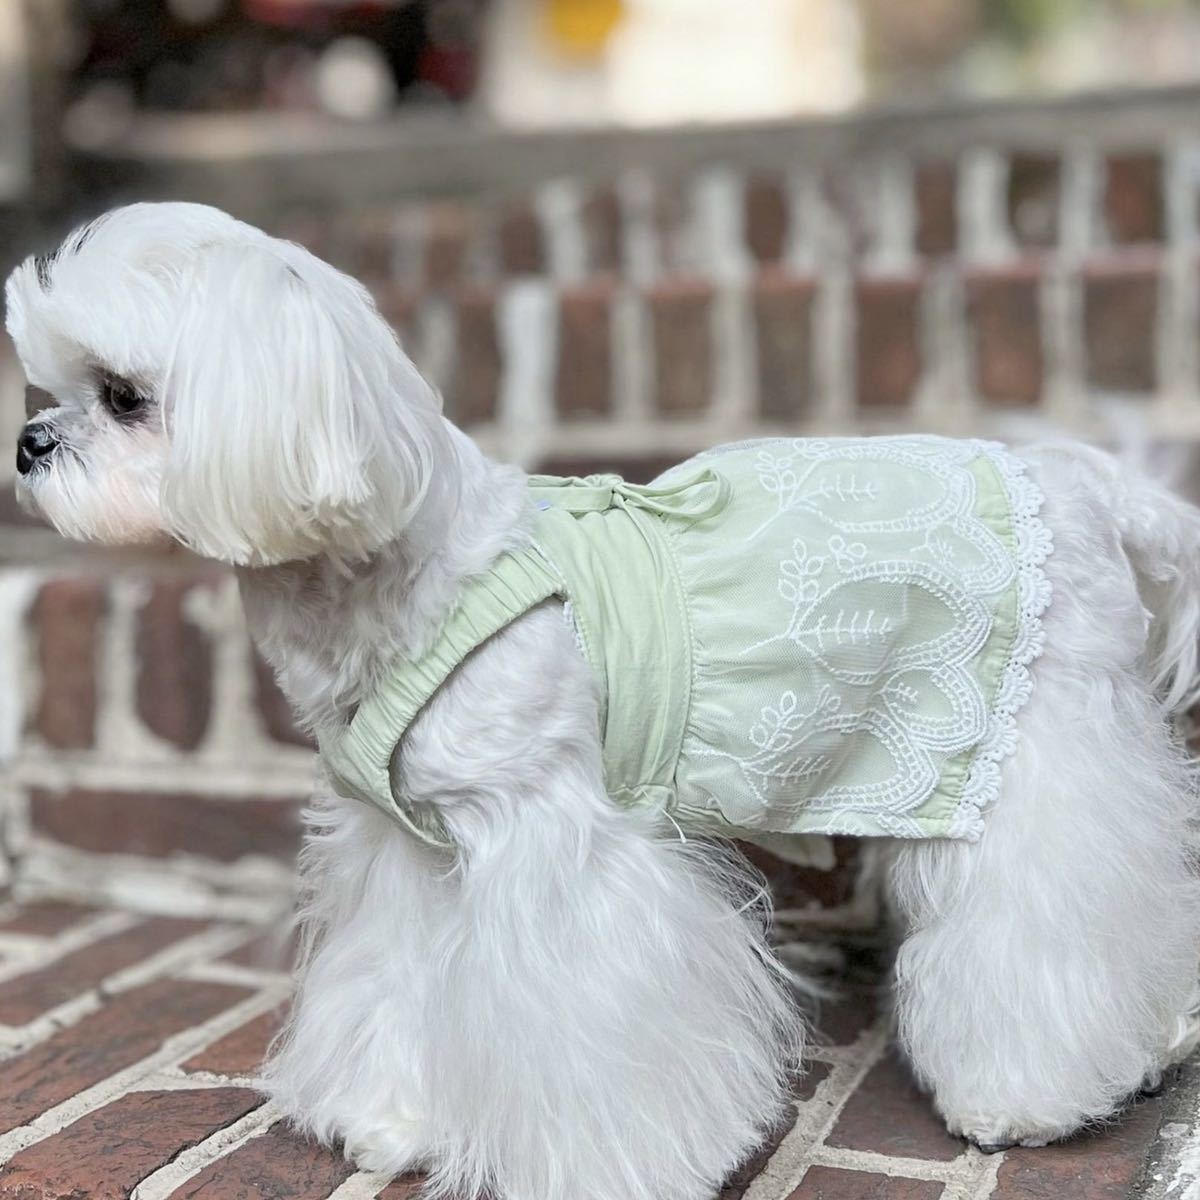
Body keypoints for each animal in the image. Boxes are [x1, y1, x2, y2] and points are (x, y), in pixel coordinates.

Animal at [7, 201, 1200, 1195]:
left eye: (124, 397)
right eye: (51, 390)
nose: (27, 442)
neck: (412, 578)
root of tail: (1087, 482)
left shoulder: (554, 844)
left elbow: (584, 1023)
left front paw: (609, 1164)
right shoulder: (407, 849)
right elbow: (392, 985)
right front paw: (394, 1119)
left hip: (1030, 749)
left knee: (1065, 904)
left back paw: (1032, 1094)